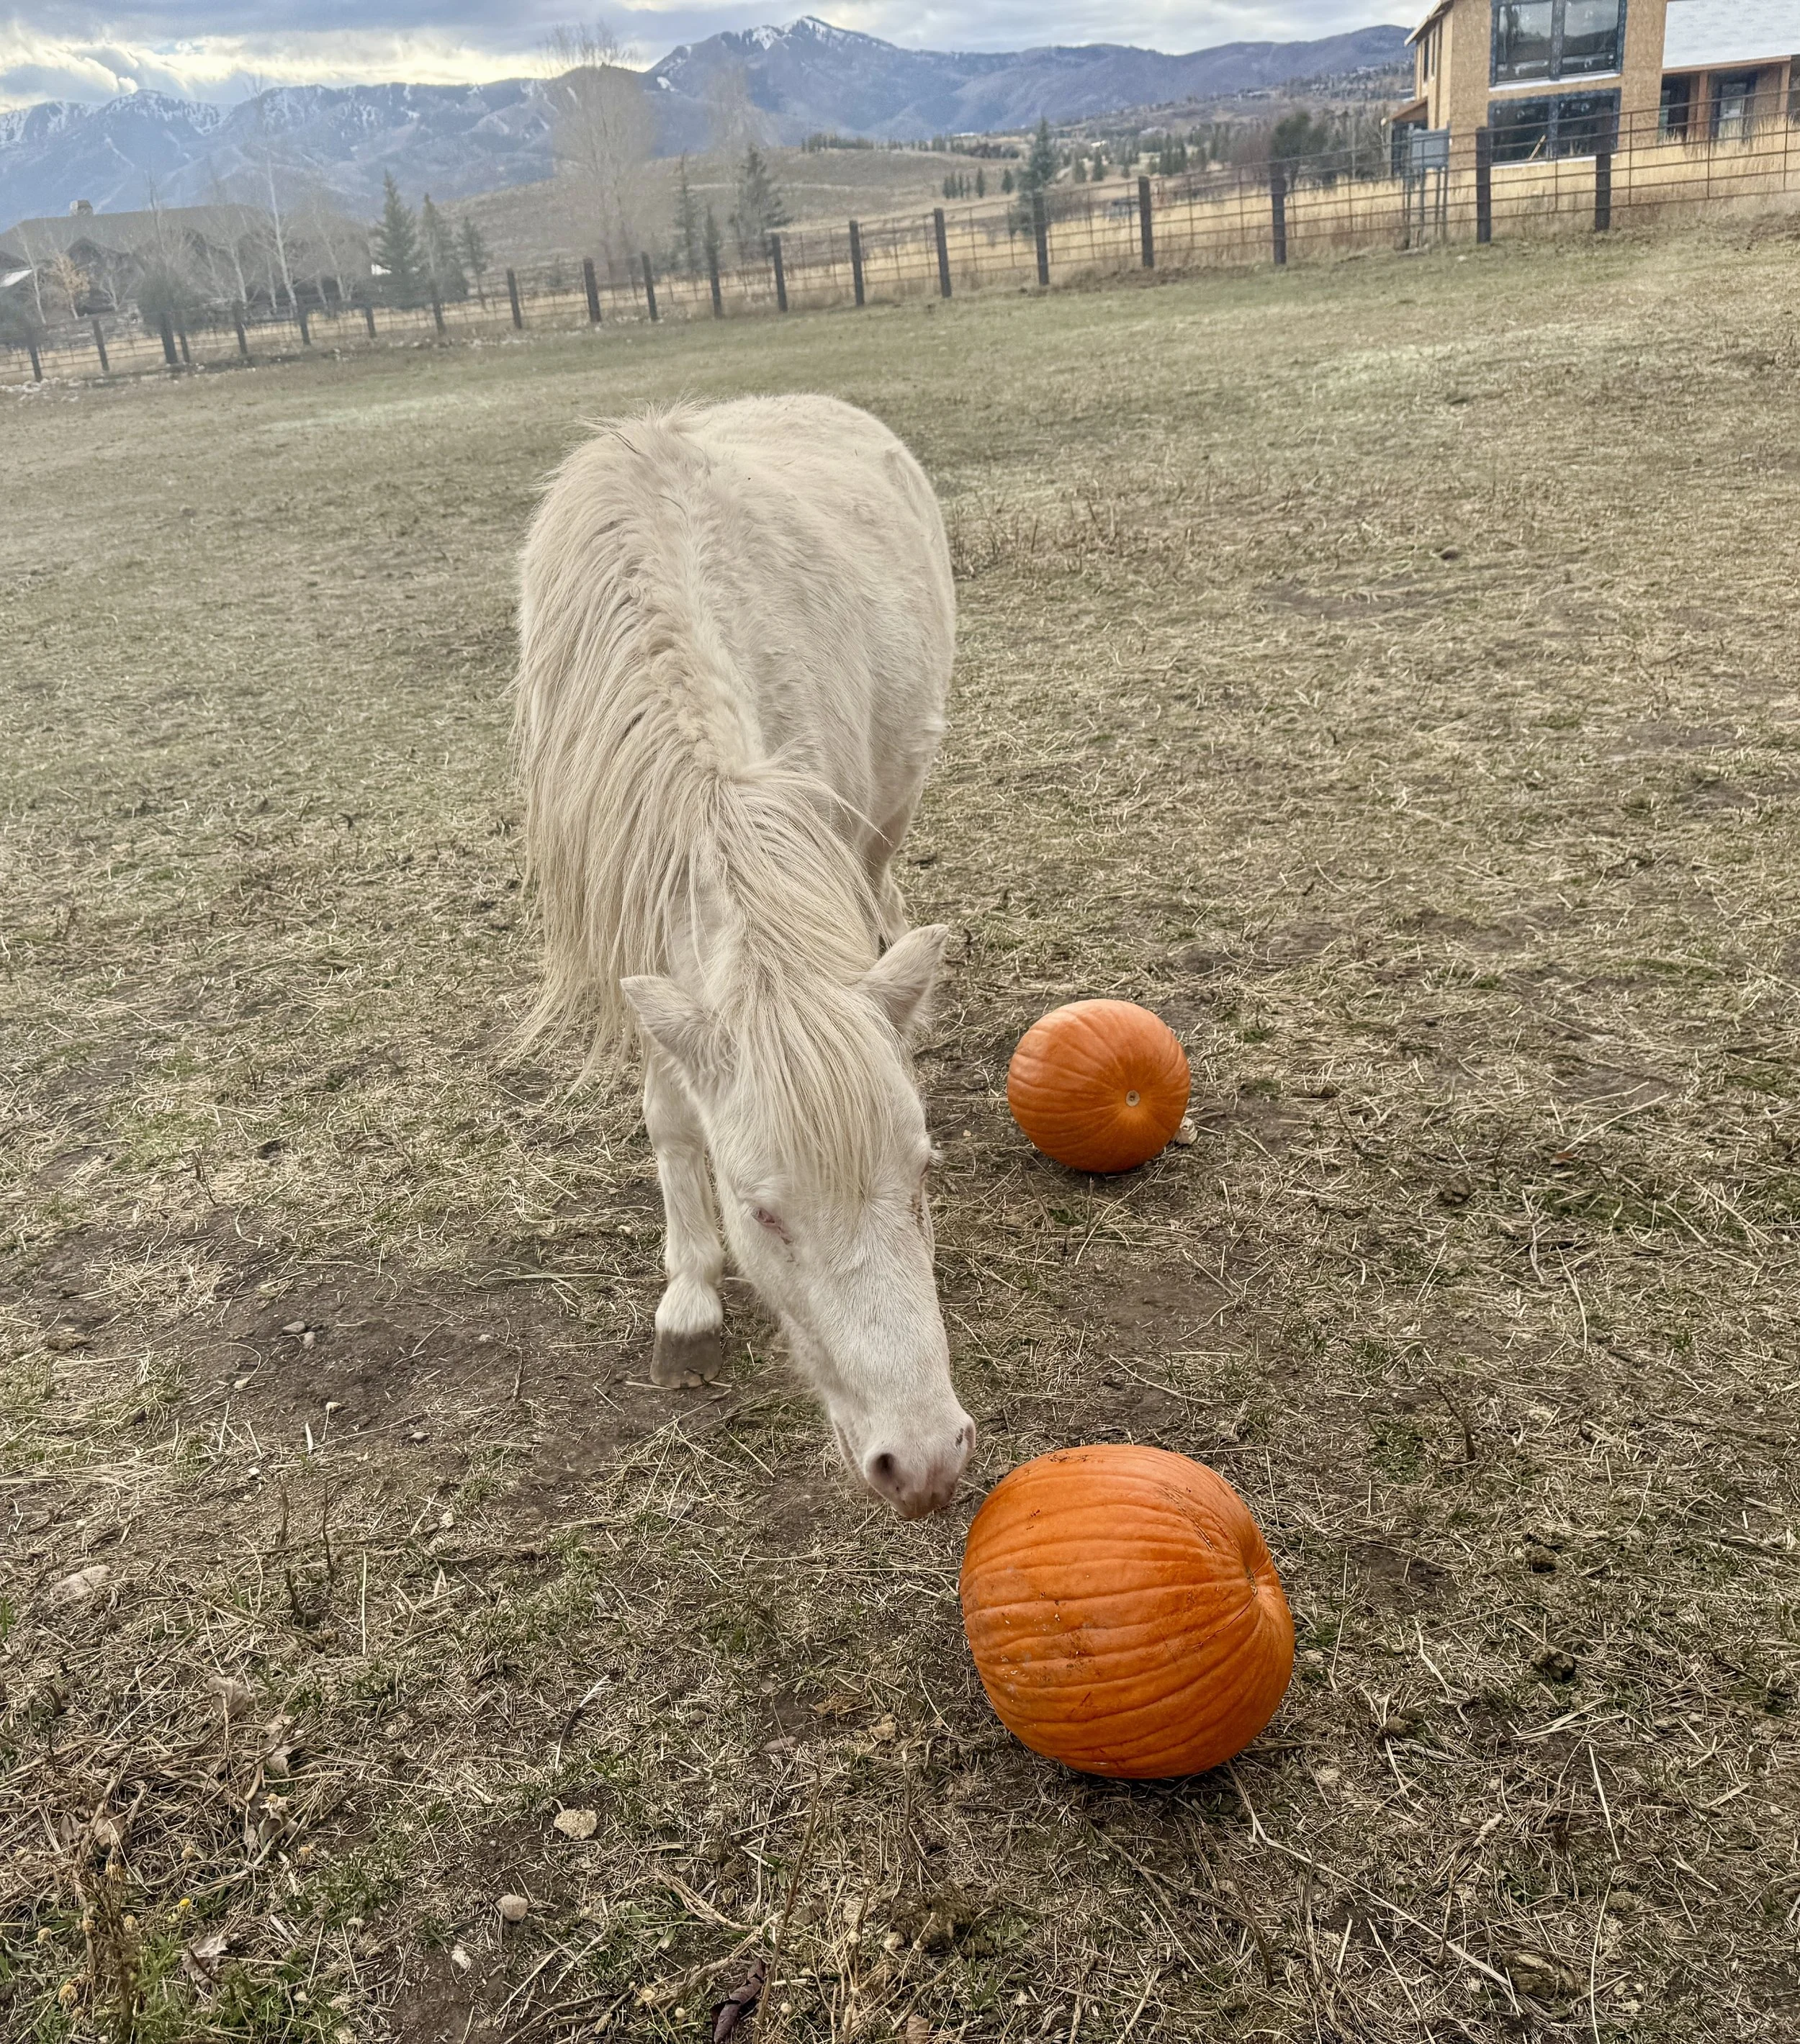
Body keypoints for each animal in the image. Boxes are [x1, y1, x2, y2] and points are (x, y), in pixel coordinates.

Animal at [513, 395, 973, 1518]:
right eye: (762, 1212)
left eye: (922, 1172)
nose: (925, 1461)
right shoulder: (640, 932)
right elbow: (672, 1113)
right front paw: (688, 1300)